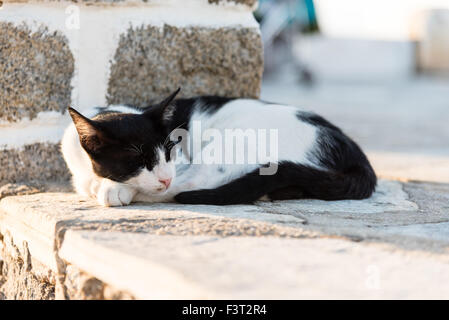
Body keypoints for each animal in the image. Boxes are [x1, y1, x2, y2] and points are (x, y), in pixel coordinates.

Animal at [59, 88, 374, 208]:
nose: (165, 177)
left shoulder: (181, 165)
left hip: (233, 138)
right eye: (137, 158)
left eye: (172, 149)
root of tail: (353, 150)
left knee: (192, 185)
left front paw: (114, 188)